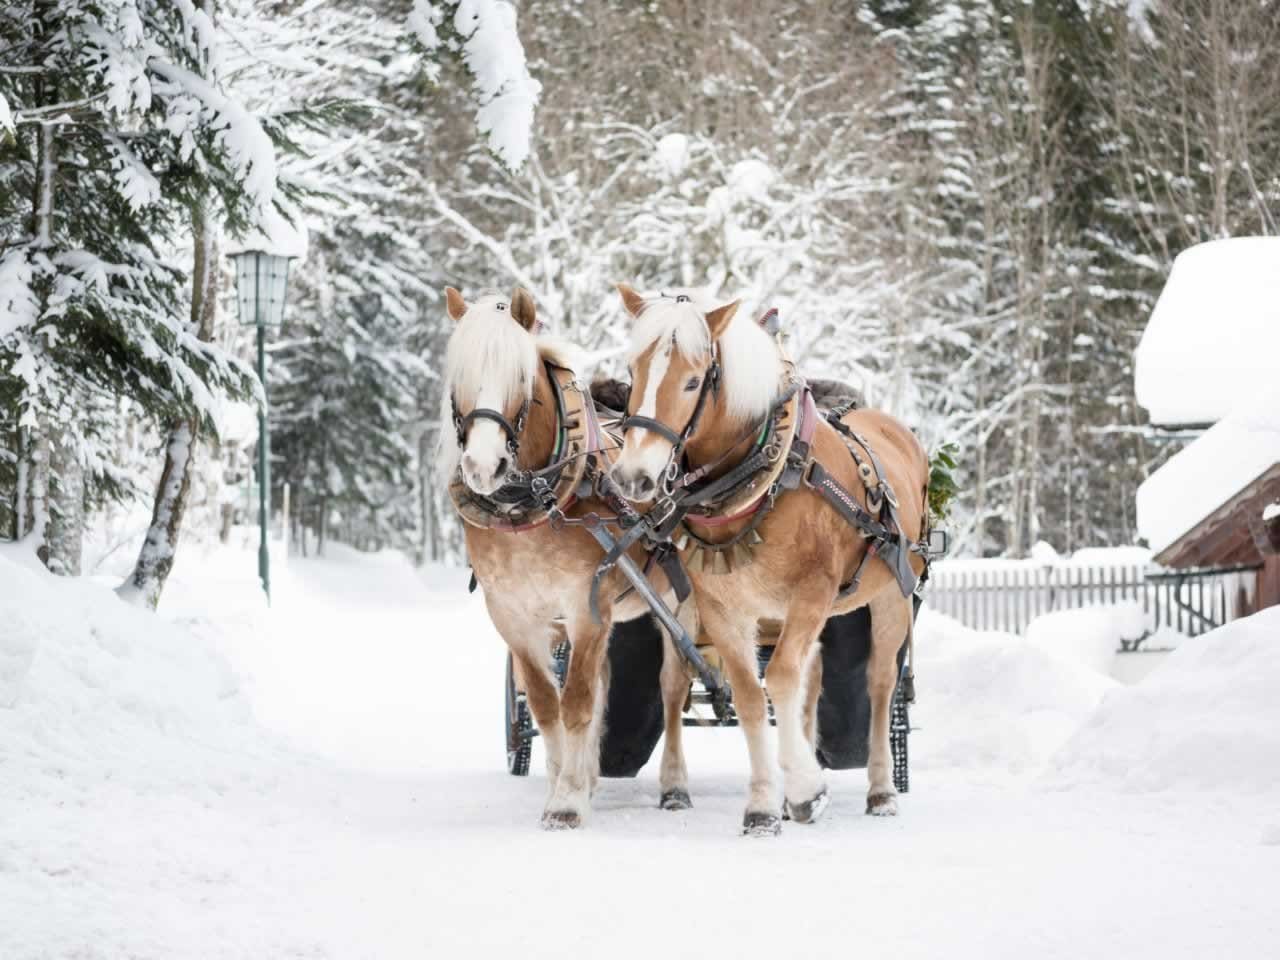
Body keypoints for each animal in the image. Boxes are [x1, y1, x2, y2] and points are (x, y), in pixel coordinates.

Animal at [442, 285, 701, 829]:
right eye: (460, 379)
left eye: (520, 379)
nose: (482, 466)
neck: (534, 503)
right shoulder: (514, 615)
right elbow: (547, 705)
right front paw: (565, 784)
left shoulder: (585, 607)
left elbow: (577, 702)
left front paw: (565, 803)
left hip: (679, 603)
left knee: (672, 687)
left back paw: (674, 785)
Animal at [609, 284, 931, 834]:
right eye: (633, 372)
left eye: (692, 380)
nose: (634, 477)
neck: (769, 475)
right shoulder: (724, 608)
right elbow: (751, 695)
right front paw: (764, 804)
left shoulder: (813, 593)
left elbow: (779, 679)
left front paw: (804, 786)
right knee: (806, 682)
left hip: (891, 595)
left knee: (880, 683)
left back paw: (882, 790)